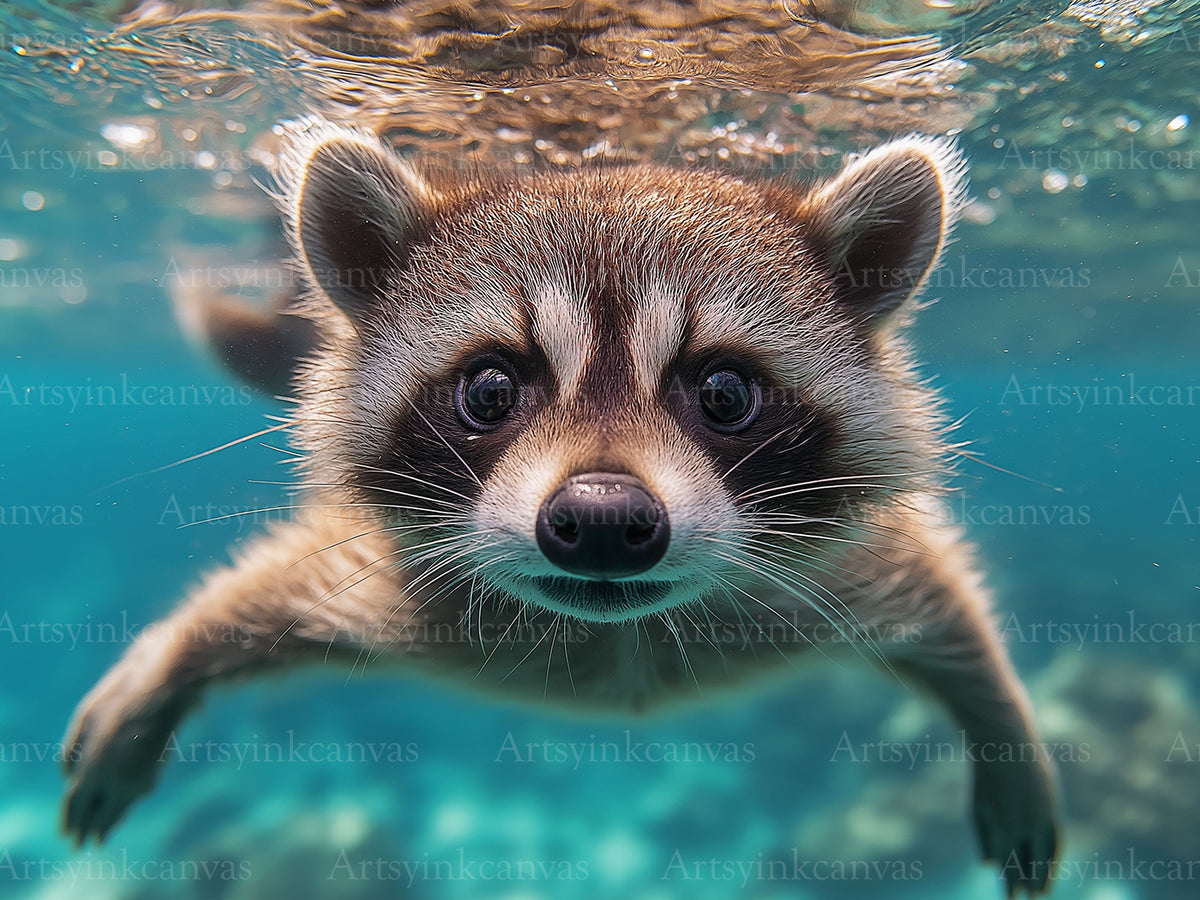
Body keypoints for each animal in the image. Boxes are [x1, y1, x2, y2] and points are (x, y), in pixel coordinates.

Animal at [63, 119, 1059, 894]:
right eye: (491, 388)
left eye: (725, 392)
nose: (606, 518)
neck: (620, 635)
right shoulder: (408, 588)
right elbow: (269, 587)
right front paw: (170, 658)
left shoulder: (818, 573)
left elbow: (939, 594)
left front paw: (1005, 725)